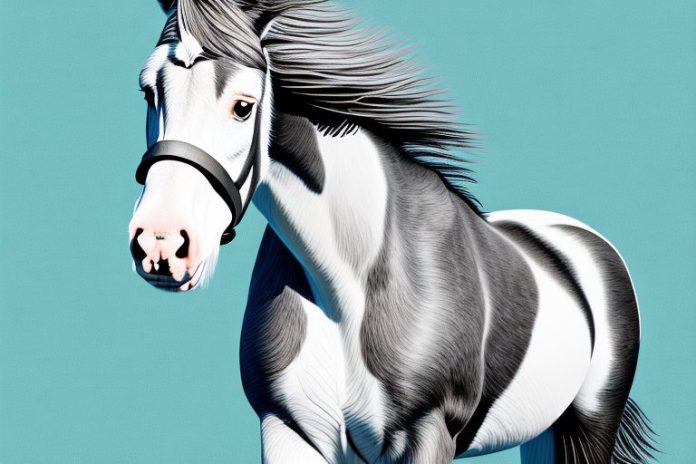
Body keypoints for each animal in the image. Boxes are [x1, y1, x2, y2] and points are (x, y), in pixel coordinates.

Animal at [127, 1, 657, 462]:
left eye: (243, 105)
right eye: (149, 91)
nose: (160, 244)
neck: (346, 286)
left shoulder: (425, 436)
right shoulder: (288, 430)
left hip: (588, 425)